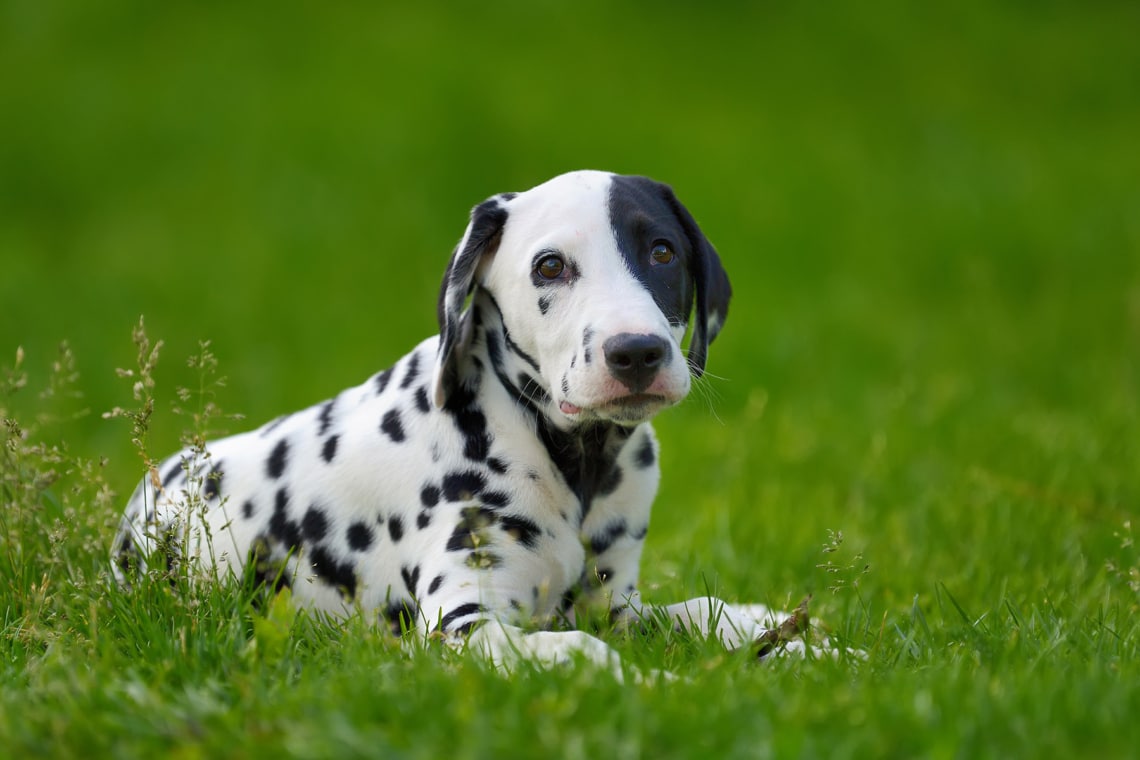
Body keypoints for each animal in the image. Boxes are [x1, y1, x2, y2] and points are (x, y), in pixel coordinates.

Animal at [113, 170, 793, 669]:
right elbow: (585, 652)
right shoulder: (463, 626)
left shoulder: (613, 604)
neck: (575, 462)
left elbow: (699, 613)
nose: (636, 353)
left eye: (662, 252)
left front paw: (793, 642)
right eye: (550, 266)